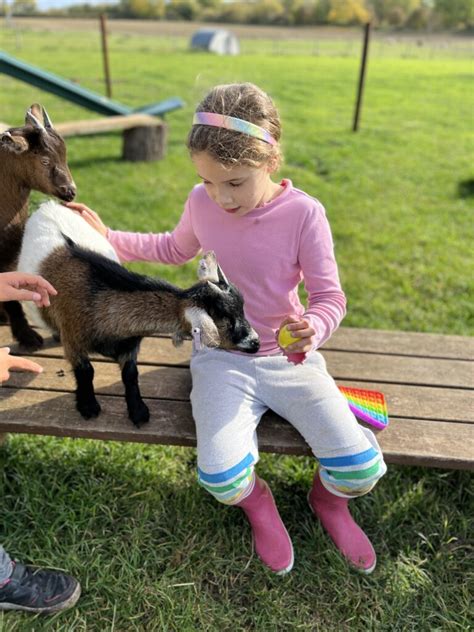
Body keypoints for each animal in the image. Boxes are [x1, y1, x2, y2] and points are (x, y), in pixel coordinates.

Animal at [17, 202, 260, 428]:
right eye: (224, 319)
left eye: (242, 308)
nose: (256, 343)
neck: (101, 307)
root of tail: (48, 205)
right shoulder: (73, 339)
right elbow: (86, 370)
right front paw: (88, 406)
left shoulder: (130, 344)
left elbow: (130, 374)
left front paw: (138, 412)